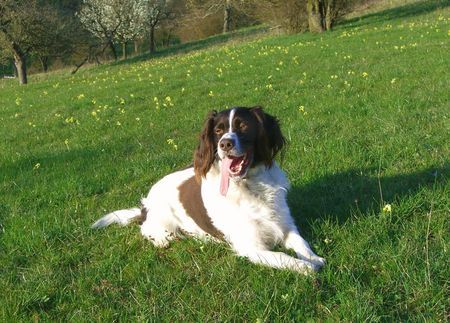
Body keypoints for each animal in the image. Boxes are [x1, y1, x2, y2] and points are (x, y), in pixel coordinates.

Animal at [92, 107, 324, 274]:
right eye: (218, 131)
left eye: (243, 126)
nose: (225, 144)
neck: (249, 186)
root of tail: (145, 205)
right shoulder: (250, 247)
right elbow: (285, 258)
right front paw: (307, 267)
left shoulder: (286, 226)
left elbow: (302, 244)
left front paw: (315, 258)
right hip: (165, 228)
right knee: (151, 232)